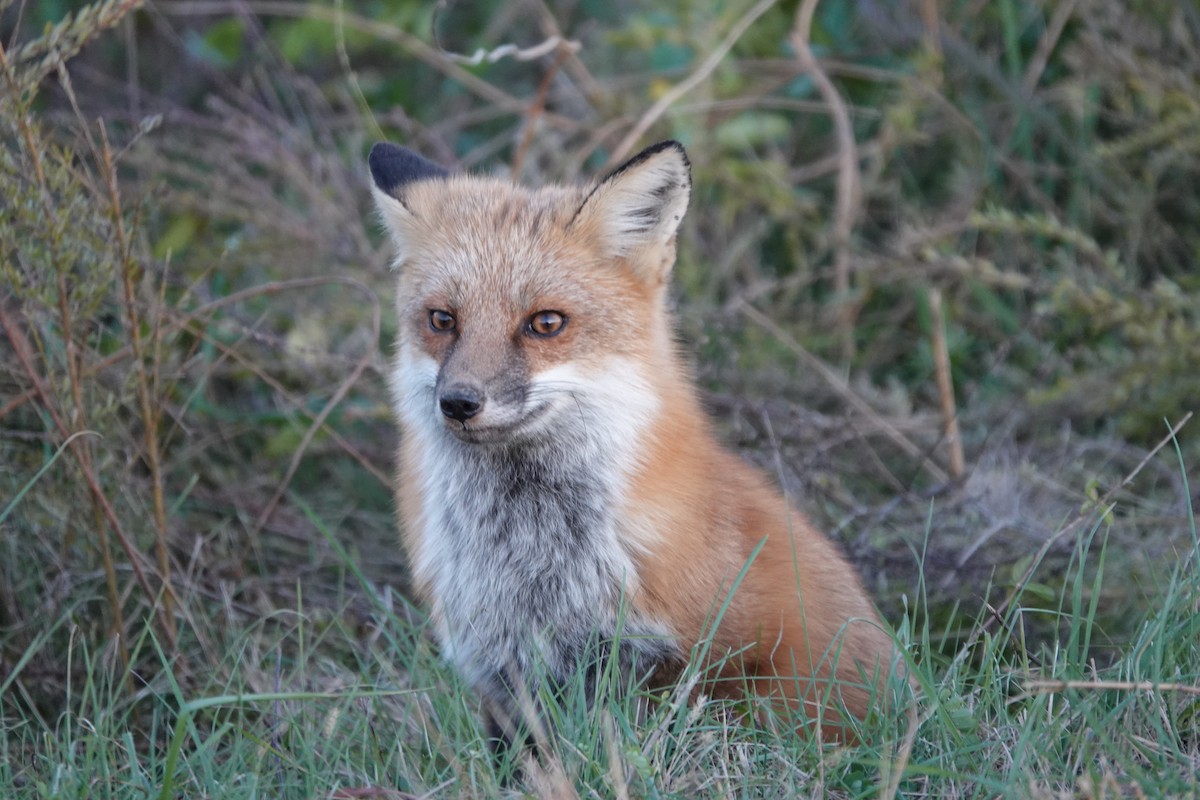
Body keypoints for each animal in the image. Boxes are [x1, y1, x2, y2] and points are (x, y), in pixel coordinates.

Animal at [368, 139, 899, 749]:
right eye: (442, 320)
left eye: (545, 323)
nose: (458, 402)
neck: (531, 559)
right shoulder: (501, 672)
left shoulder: (703, 663)